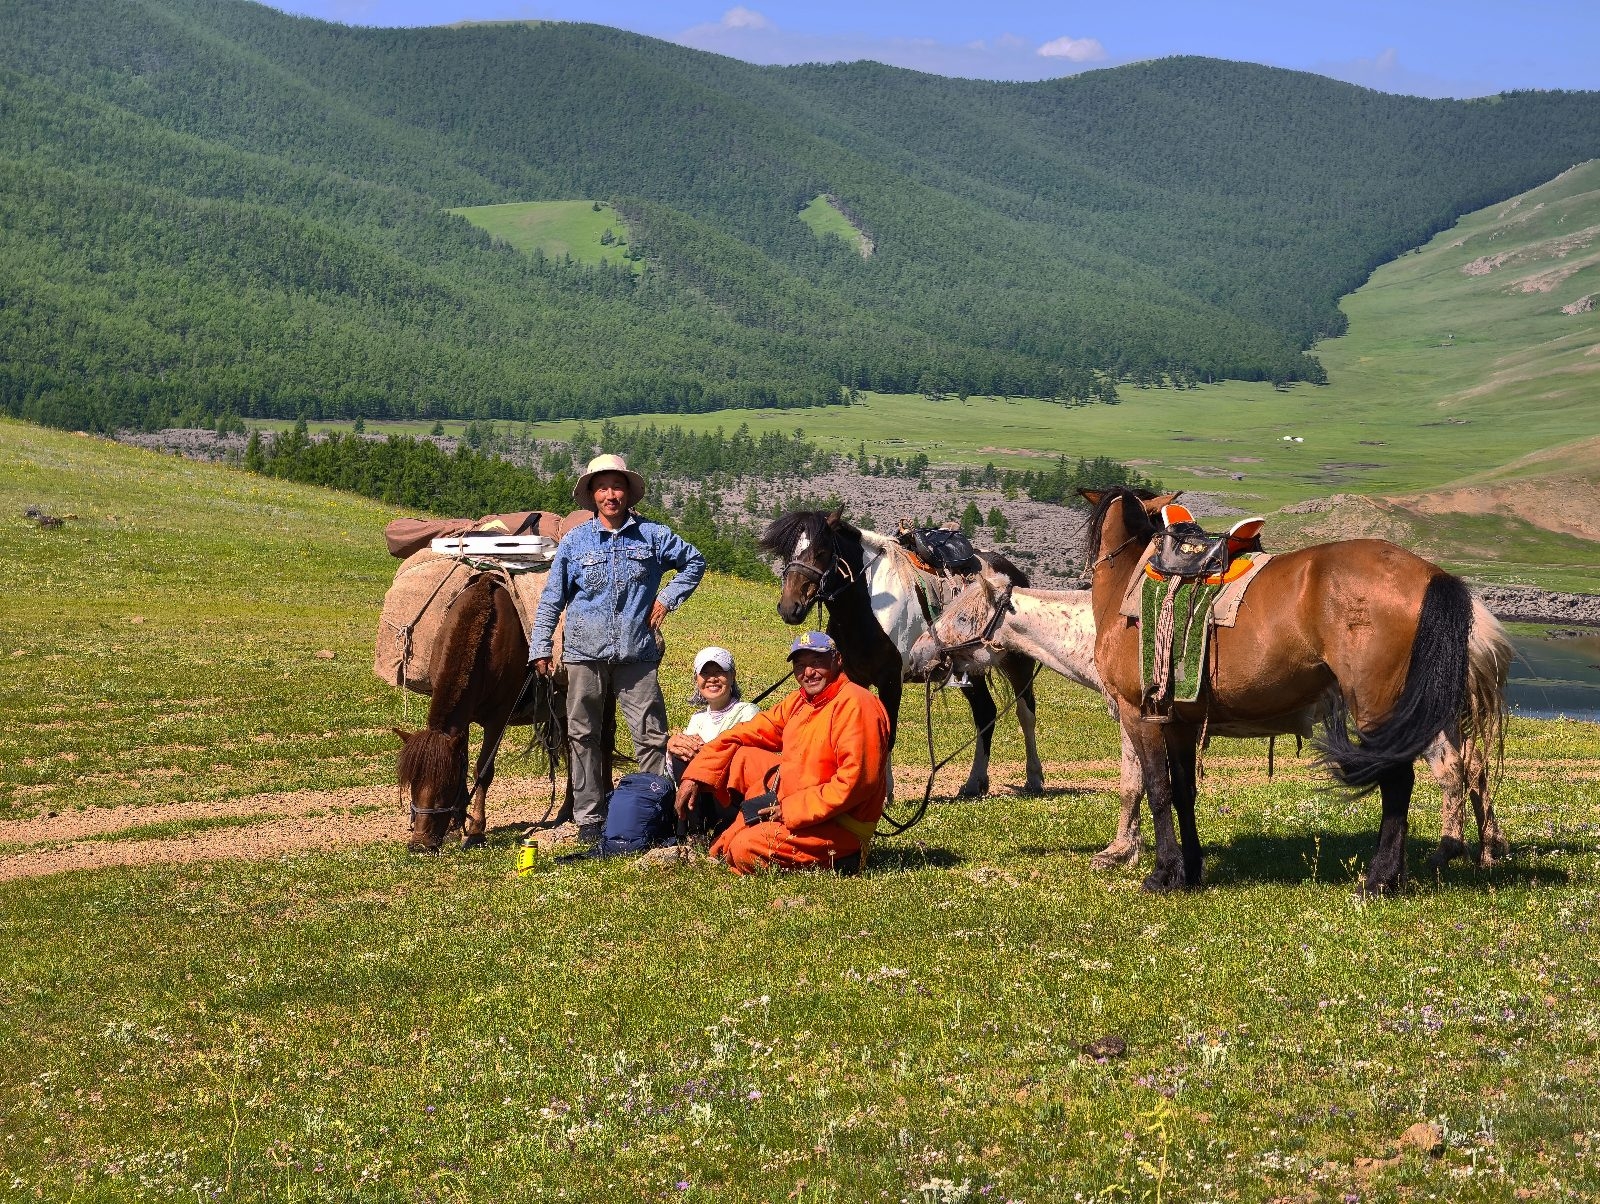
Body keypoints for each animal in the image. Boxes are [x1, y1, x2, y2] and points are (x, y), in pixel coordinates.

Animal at [394, 573, 572, 853]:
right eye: (413, 782)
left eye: (444, 784)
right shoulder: (461, 724)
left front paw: (476, 830)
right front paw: (455, 827)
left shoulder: (497, 720)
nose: (420, 844)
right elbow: (465, 763)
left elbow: (483, 771)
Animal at [760, 509, 1044, 798]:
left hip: (1019, 664)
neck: (867, 608)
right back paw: (975, 782)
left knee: (1026, 713)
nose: (789, 607)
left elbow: (889, 734)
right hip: (970, 670)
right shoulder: (855, 679)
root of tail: (1015, 574)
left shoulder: (890, 679)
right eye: (787, 553)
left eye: (821, 552)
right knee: (985, 712)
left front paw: (885, 794)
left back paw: (1034, 779)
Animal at [909, 568, 1509, 870]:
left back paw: (1447, 852)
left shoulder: (1131, 717)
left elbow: (1131, 784)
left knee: (1450, 771)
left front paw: (1118, 853)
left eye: (959, 616)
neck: (1105, 625)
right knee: (1476, 771)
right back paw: (1486, 851)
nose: (915, 659)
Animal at [1080, 486, 1509, 894]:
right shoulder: (1180, 722)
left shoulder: (1139, 713)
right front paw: (1190, 871)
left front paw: (1163, 874)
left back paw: (1378, 881)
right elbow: (1184, 792)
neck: (1126, 585)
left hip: (1380, 707)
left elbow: (1158, 790)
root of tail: (1431, 574)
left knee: (1398, 780)